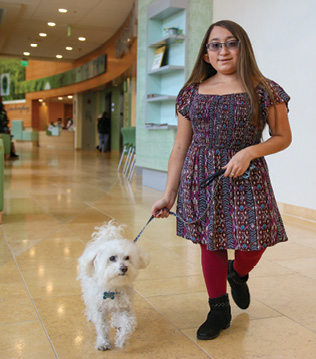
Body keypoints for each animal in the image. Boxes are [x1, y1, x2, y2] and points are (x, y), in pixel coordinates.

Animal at [77, 222, 150, 352]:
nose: (124, 268)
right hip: (87, 293)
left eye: (127, 257)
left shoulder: (125, 307)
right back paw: (91, 316)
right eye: (111, 258)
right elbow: (102, 327)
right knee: (89, 305)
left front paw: (122, 341)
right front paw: (103, 342)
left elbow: (128, 324)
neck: (113, 286)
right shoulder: (100, 309)